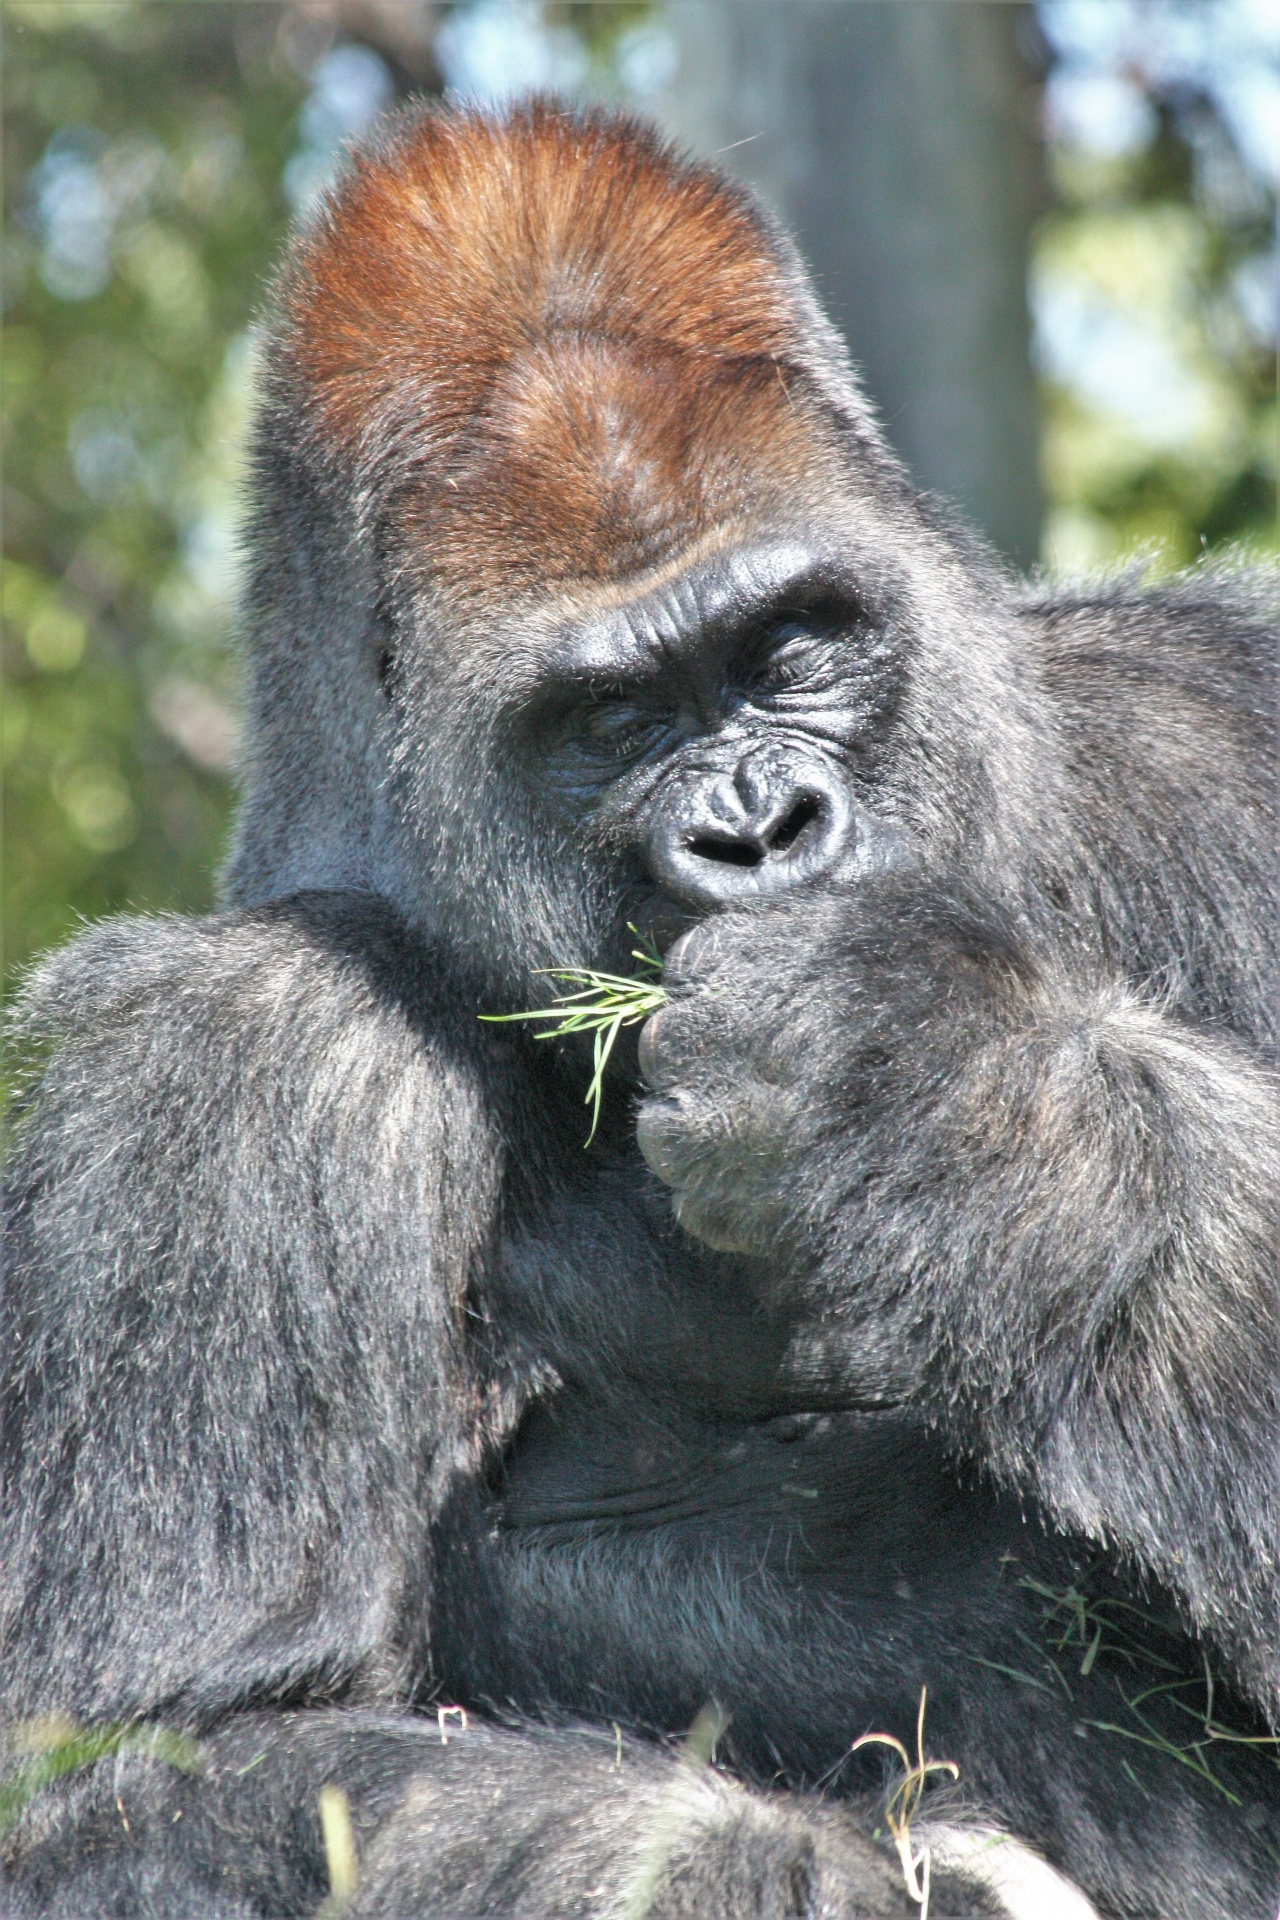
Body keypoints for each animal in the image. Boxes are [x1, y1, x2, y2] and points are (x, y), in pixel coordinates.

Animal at [2, 101, 1280, 1920]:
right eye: (610, 719)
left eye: (793, 647)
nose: (759, 831)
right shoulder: (234, 1057)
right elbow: (143, 1770)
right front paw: (779, 1877)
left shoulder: (1216, 730)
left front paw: (959, 1115)